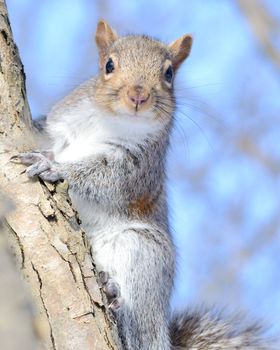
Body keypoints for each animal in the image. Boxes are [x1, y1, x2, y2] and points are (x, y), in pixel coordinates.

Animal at [19, 19, 276, 350]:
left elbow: (103, 180)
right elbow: (44, 132)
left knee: (139, 335)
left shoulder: (137, 168)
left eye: (168, 74)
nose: (138, 96)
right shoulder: (58, 126)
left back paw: (114, 299)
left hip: (143, 253)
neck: (112, 121)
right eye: (109, 65)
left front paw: (55, 166)